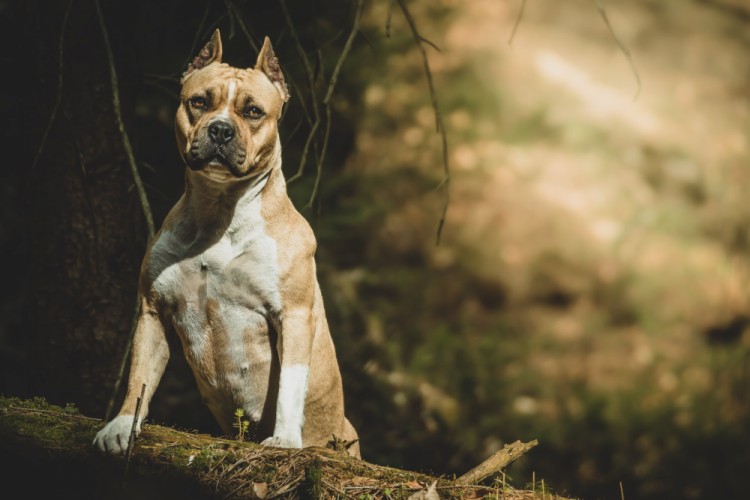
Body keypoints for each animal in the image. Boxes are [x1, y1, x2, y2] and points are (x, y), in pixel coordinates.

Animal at [92, 30, 362, 458]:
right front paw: (120, 427)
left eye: (253, 111)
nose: (220, 129)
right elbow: (139, 378)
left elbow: (290, 385)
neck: (220, 212)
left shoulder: (294, 315)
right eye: (199, 102)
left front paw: (285, 440)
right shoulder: (153, 310)